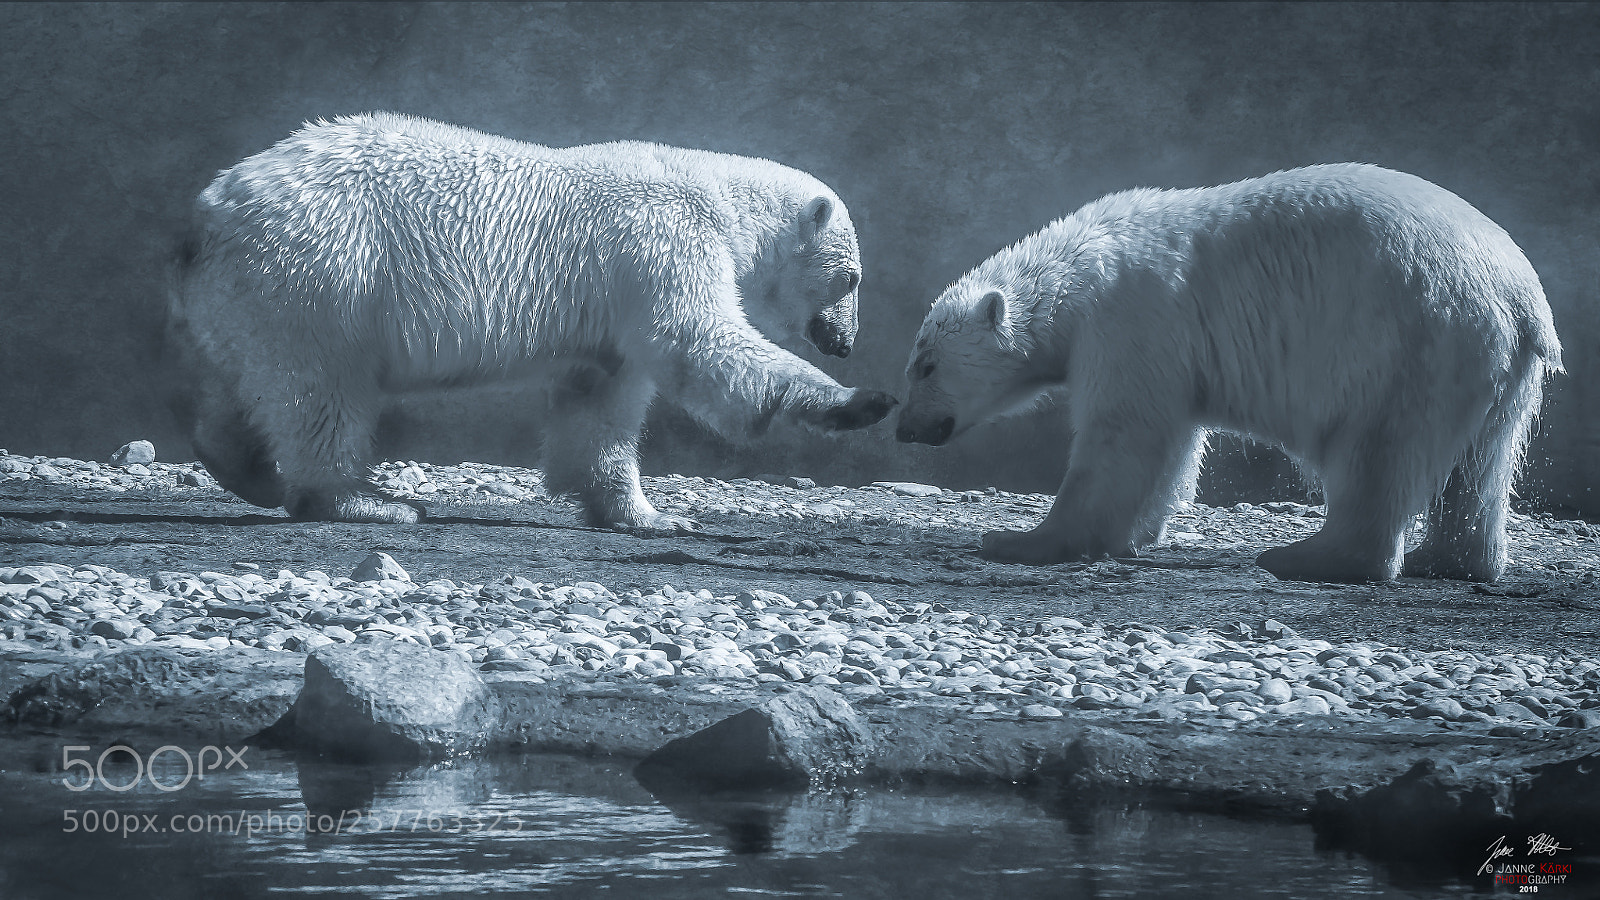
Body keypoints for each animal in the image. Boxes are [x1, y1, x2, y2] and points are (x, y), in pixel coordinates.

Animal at [167, 112, 897, 531]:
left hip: (253, 292)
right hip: (327, 272)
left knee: (245, 378)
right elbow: (700, 341)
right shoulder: (661, 242)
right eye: (853, 279)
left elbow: (602, 401)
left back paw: (244, 468)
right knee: (322, 389)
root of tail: (211, 206)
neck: (719, 198)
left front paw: (642, 513)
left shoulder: (614, 307)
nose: (845, 341)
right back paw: (368, 498)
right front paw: (860, 401)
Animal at [895, 163, 1562, 584]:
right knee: (1480, 465)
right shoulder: (1167, 350)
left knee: (1377, 451)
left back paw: (1306, 556)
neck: (1078, 271)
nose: (904, 428)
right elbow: (1173, 442)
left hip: (1412, 339)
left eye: (924, 365)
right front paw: (1138, 534)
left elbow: (1122, 433)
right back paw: (1450, 560)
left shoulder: (1131, 316)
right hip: (1496, 364)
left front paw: (1020, 541)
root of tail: (1520, 295)